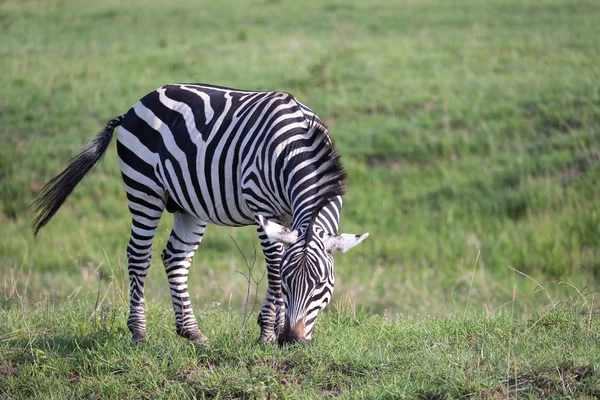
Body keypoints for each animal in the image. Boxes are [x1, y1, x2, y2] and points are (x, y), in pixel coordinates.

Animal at [35, 83, 370, 346]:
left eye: (322, 285)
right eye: (289, 284)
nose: (292, 340)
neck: (296, 146)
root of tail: (136, 105)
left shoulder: (288, 219)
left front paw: (272, 329)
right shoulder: (262, 206)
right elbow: (274, 268)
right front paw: (267, 333)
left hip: (188, 204)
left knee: (175, 257)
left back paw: (191, 332)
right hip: (143, 187)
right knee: (138, 254)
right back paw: (139, 331)